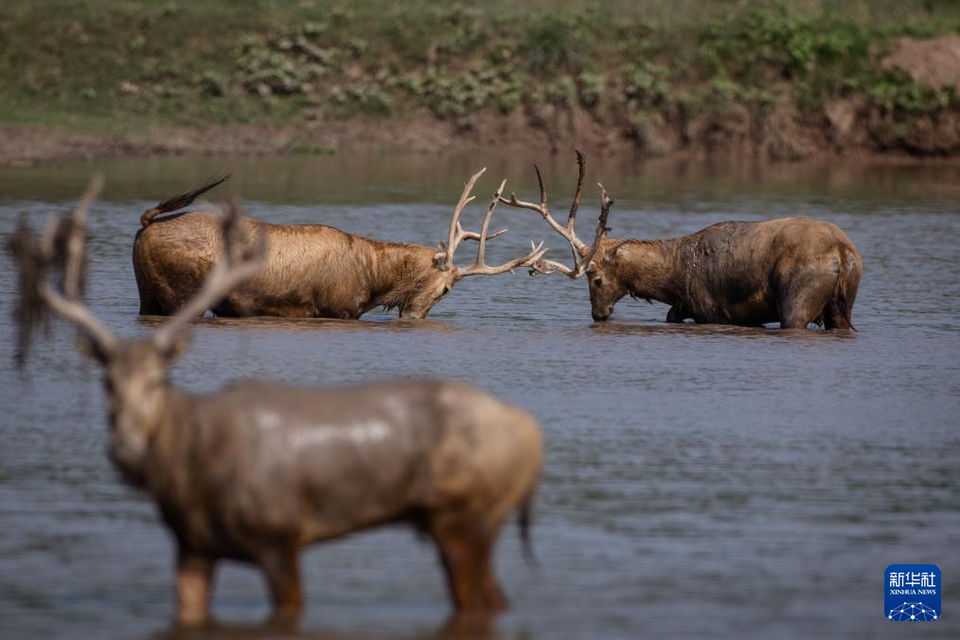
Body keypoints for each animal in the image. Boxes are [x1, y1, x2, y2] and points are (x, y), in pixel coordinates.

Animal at [131, 170, 544, 320]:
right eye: (445, 289)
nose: (413, 319)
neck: (375, 282)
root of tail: (146, 225)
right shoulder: (338, 309)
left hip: (147, 293)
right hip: (180, 296)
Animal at [502, 151, 864, 330]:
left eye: (596, 278)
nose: (598, 315)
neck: (674, 280)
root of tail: (843, 251)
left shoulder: (714, 311)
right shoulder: (685, 308)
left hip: (797, 300)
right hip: (842, 306)